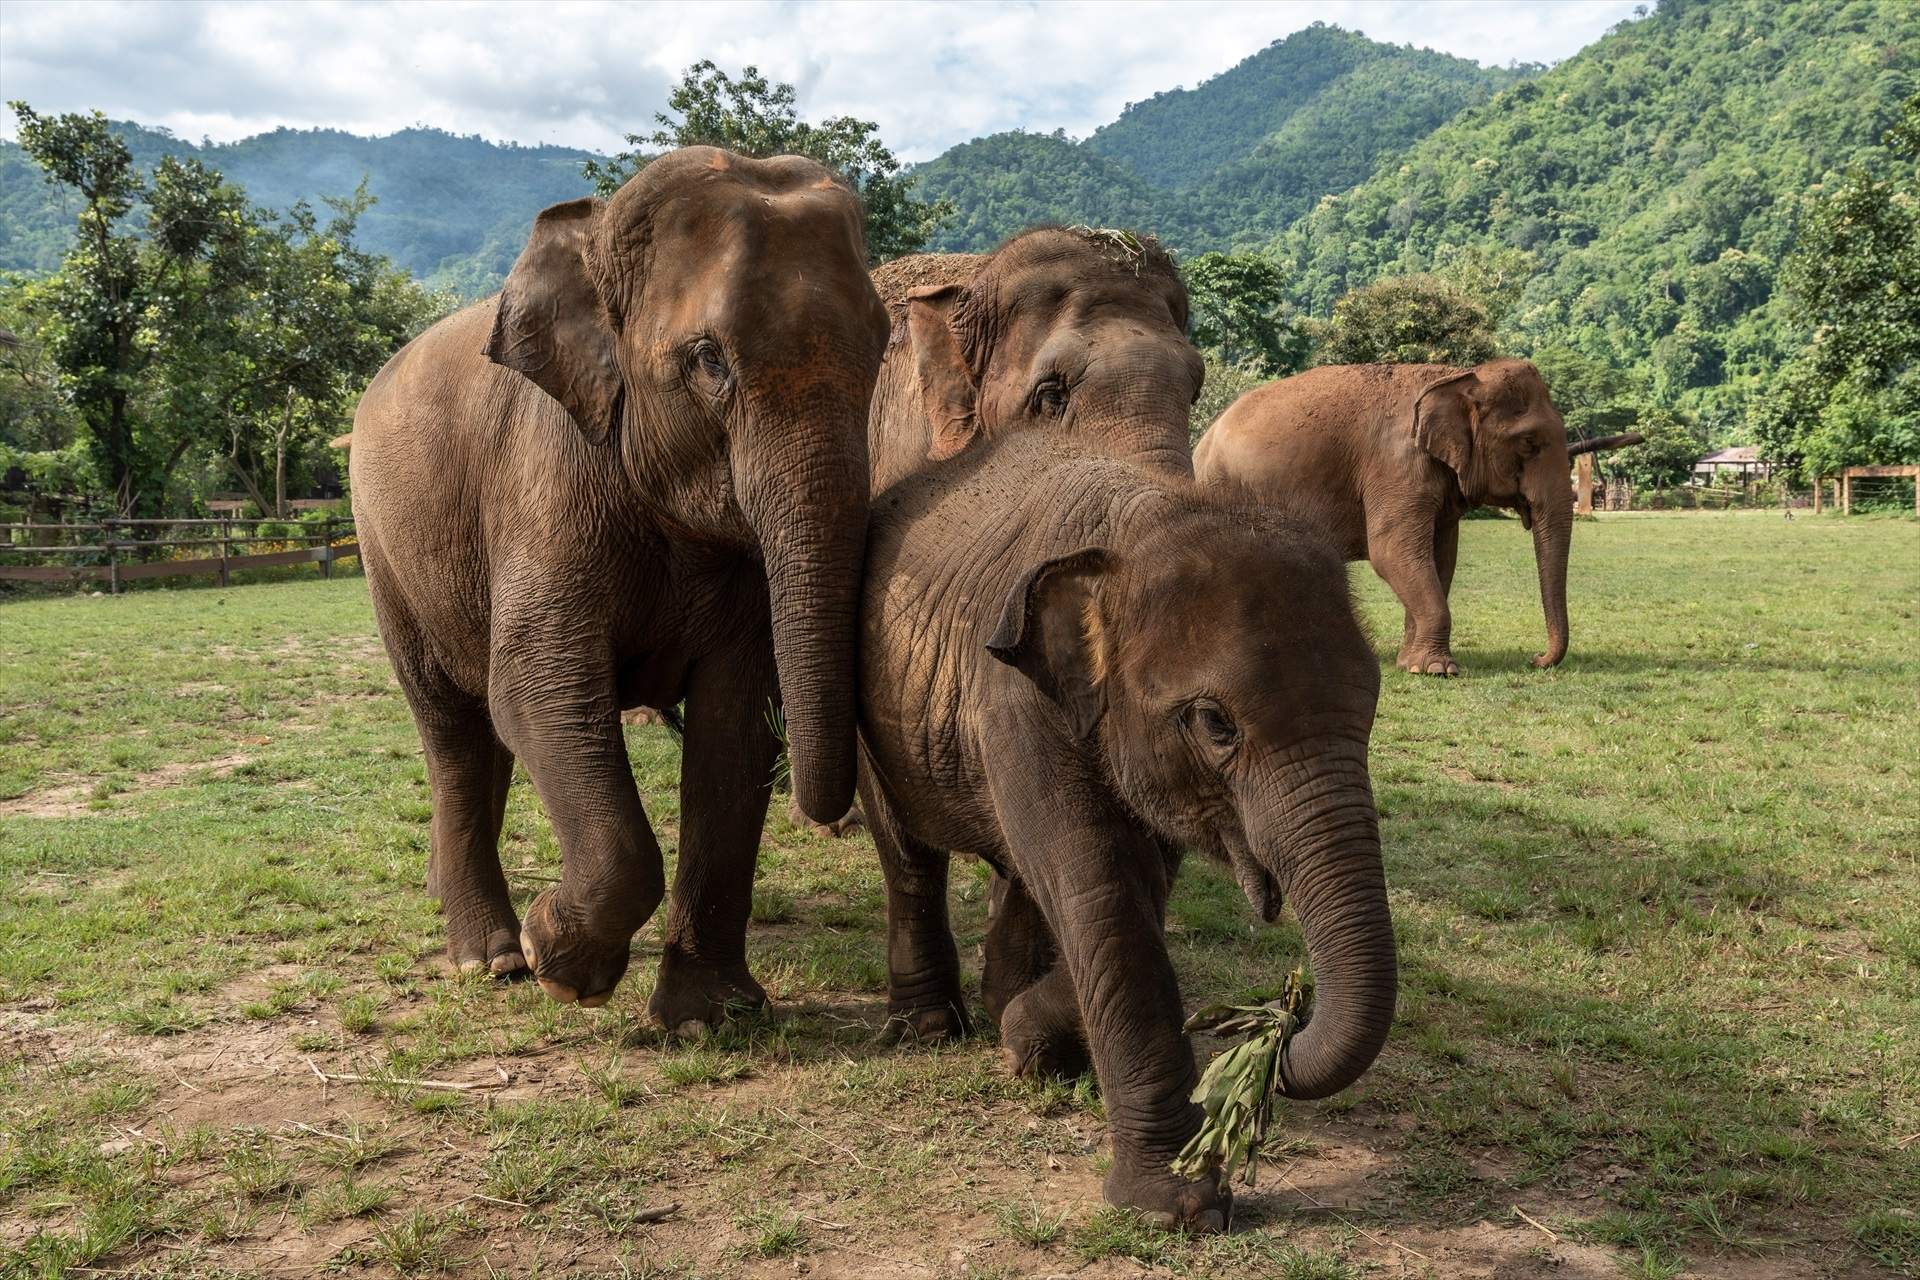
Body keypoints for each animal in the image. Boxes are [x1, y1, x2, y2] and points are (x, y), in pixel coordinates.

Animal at [349, 150, 887, 1028]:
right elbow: (539, 689)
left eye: (881, 348)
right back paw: (490, 959)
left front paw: (709, 1017)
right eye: (709, 360)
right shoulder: (545, 480)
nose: (833, 818)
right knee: (452, 724)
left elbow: (737, 720)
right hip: (382, 551)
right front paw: (557, 962)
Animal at [860, 429, 1397, 1228]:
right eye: (1214, 723)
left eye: (1371, 706)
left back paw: (1009, 1018)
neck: (1143, 522)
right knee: (908, 854)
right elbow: (1100, 890)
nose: (1281, 1022)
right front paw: (1176, 1207)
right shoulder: (1013, 697)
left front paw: (1025, 1044)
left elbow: (1134, 884)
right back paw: (928, 1029)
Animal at [1198, 358, 1574, 675]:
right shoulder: (1396, 466)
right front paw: (1438, 670)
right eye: (1529, 442)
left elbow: (1440, 557)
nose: (1535, 659)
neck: (1457, 376)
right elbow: (1393, 552)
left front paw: (1411, 663)